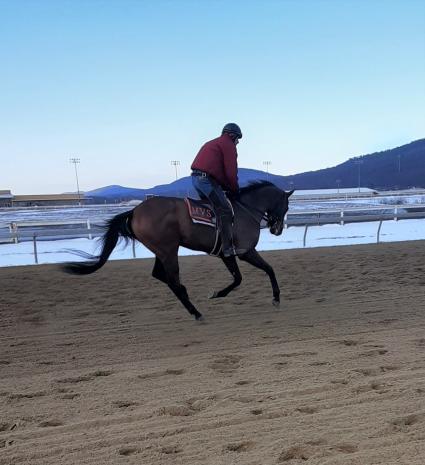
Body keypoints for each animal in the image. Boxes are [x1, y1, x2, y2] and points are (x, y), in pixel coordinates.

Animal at [63, 181, 294, 320]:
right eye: (287, 207)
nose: (277, 230)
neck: (244, 210)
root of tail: (135, 211)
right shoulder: (244, 251)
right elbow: (265, 270)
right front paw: (275, 298)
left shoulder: (225, 254)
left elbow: (240, 277)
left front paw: (218, 293)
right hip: (168, 250)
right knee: (172, 280)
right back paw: (195, 311)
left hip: (162, 250)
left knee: (161, 275)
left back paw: (188, 297)